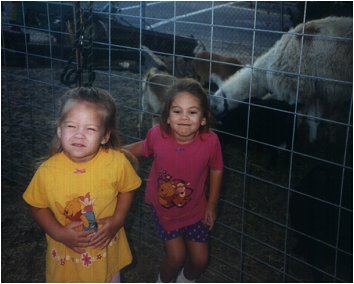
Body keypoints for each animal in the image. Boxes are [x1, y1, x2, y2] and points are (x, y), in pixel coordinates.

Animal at [210, 16, 352, 142]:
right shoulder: (313, 91)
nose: (216, 122)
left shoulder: (295, 90)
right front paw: (313, 140)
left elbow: (297, 117)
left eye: (215, 108)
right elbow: (313, 119)